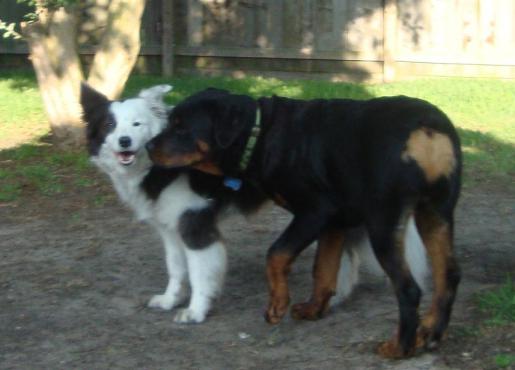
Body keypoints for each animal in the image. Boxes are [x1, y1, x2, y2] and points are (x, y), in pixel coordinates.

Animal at [145, 89, 464, 358]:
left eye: (181, 127)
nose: (147, 146)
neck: (260, 134)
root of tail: (426, 130)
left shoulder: (316, 211)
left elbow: (276, 254)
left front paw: (277, 305)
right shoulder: (336, 220)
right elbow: (323, 268)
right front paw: (314, 309)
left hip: (383, 223)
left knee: (409, 289)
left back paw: (400, 348)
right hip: (436, 214)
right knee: (447, 276)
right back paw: (431, 333)